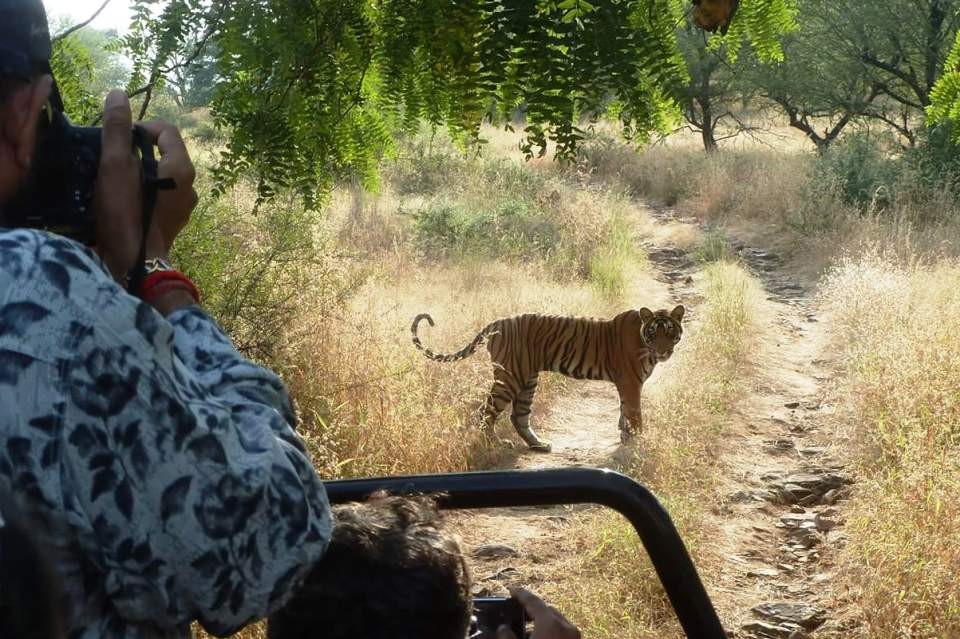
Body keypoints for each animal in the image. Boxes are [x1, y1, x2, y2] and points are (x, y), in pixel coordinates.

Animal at [411, 306, 685, 452]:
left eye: (670, 332)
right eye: (654, 333)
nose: (663, 352)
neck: (643, 340)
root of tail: (496, 323)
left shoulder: (626, 385)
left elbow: (624, 413)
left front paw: (627, 439)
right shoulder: (630, 382)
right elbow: (635, 414)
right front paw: (639, 444)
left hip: (527, 378)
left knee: (518, 415)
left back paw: (539, 444)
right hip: (510, 377)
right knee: (485, 412)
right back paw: (496, 444)